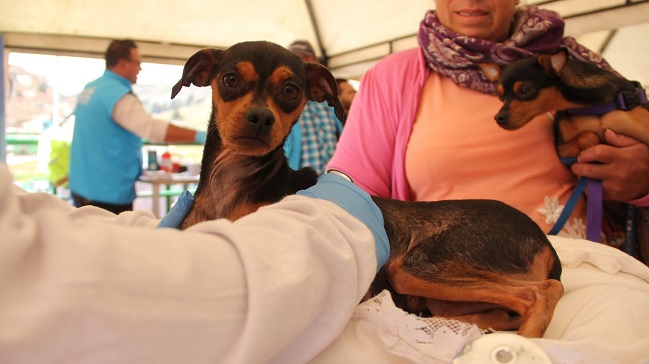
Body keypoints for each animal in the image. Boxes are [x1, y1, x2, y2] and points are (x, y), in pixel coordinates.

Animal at [171, 40, 560, 338]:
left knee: (541, 292)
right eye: (230, 79)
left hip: (415, 265)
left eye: (290, 91)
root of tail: (545, 243)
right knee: (500, 312)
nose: (260, 118)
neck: (231, 184)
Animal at [476, 48, 648, 156]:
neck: (587, 107)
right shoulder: (563, 151)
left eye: (525, 90)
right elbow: (588, 134)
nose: (498, 118)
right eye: (500, 96)